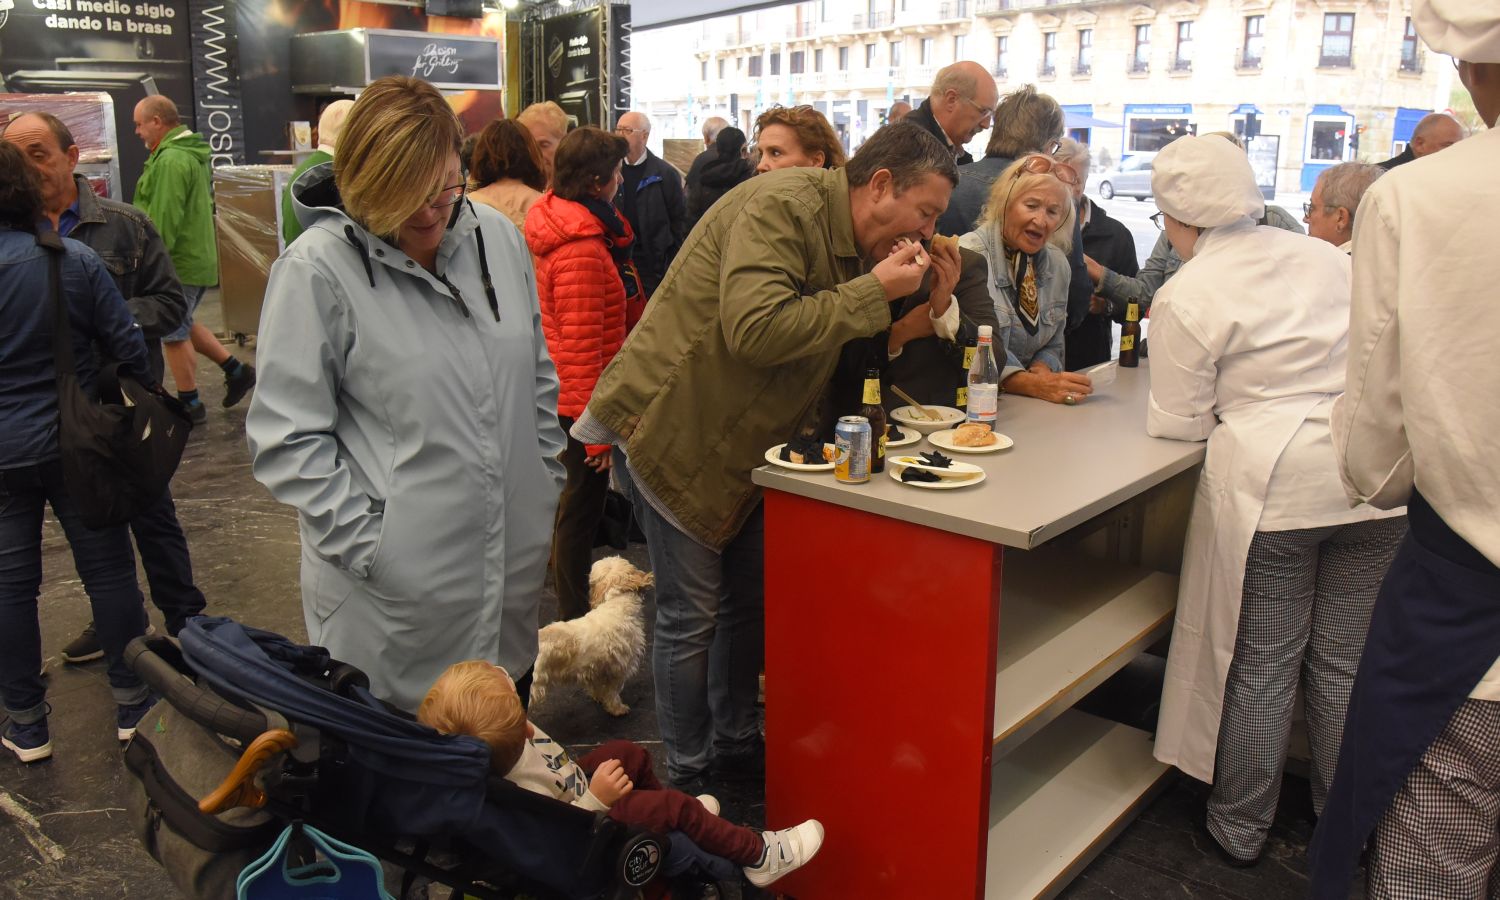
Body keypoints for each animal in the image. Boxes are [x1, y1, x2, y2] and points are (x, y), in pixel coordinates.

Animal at [531, 555, 648, 717]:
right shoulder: (619, 669)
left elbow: (597, 687)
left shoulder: (594, 669)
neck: (616, 602)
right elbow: (612, 693)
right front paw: (617, 709)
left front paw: (598, 698)